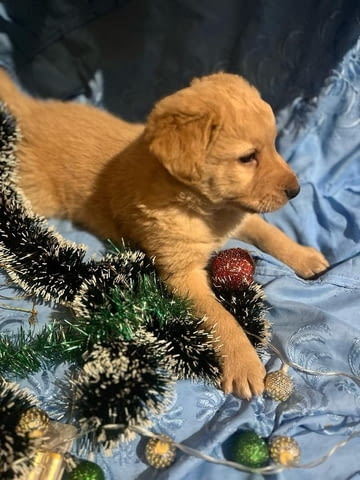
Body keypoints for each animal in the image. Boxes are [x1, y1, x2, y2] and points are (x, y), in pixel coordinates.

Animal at [0, 70, 330, 398]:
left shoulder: (238, 212)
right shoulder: (181, 273)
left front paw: (305, 256)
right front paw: (244, 361)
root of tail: (30, 109)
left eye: (274, 144)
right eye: (248, 157)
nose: (296, 190)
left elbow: (269, 233)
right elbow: (221, 317)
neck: (204, 209)